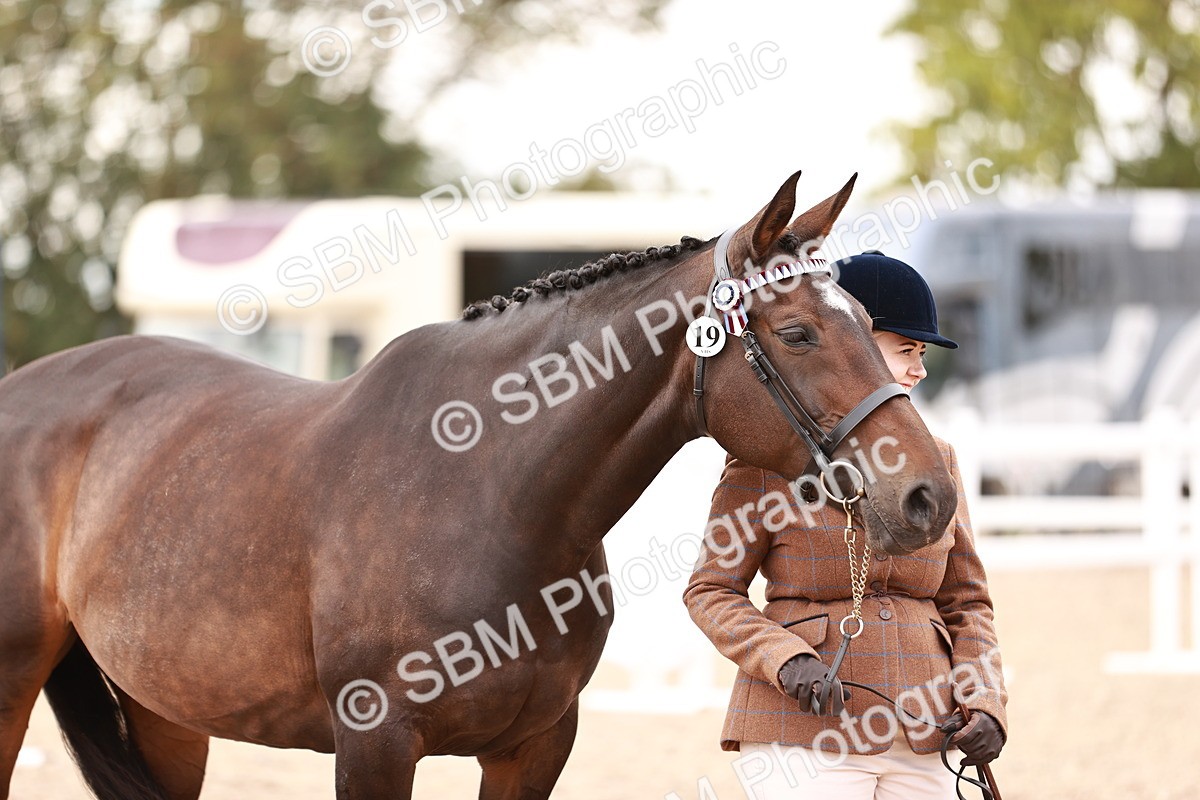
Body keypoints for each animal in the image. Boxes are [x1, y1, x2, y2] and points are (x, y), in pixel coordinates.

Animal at [0, 171, 957, 800]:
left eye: (865, 323)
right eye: (796, 333)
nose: (930, 497)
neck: (489, 497)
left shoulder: (535, 746)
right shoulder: (376, 746)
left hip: (166, 710)